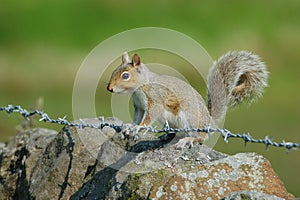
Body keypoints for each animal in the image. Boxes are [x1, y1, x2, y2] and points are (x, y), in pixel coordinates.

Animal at [106, 51, 268, 148]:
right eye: (113, 72)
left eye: (125, 75)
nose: (109, 88)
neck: (141, 86)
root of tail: (209, 121)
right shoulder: (139, 106)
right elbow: (137, 117)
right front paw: (130, 126)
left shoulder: (155, 99)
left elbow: (149, 117)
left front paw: (139, 127)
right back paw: (168, 135)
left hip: (191, 118)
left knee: (201, 137)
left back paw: (189, 139)